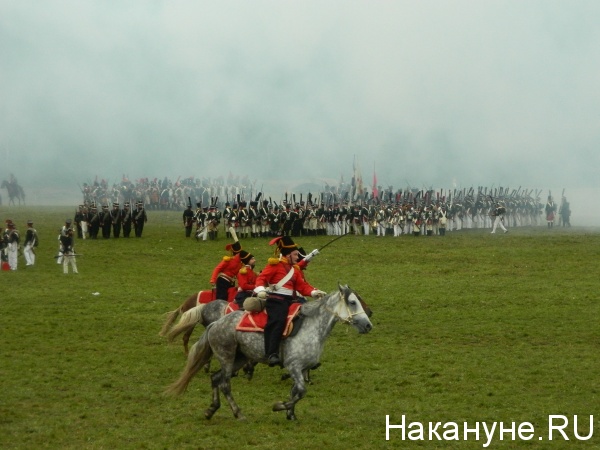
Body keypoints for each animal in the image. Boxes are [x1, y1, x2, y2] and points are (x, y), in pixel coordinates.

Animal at [164, 284, 370, 422]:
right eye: (353, 302)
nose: (368, 324)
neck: (311, 327)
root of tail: (216, 323)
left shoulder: (299, 369)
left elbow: (295, 391)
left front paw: (291, 414)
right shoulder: (294, 366)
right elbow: (301, 391)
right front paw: (279, 406)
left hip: (239, 358)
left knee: (215, 378)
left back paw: (211, 410)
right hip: (227, 357)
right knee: (224, 384)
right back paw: (238, 413)